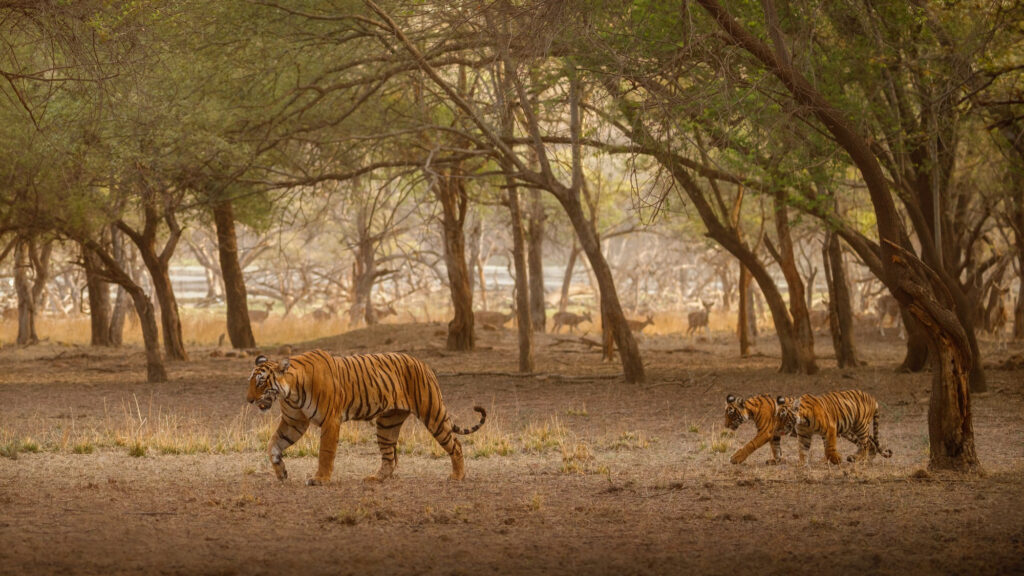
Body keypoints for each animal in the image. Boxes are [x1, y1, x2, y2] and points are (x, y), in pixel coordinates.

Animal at [246, 349, 486, 486]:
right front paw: (281, 472)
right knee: (389, 458)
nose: (248, 400)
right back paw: (375, 479)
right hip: (387, 423)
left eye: (261, 382)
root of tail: (423, 363)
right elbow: (273, 444)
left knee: (455, 444)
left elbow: (325, 452)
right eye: (251, 381)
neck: (291, 392)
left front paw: (320, 479)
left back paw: (457, 476)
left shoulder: (330, 421)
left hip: (432, 413)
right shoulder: (294, 422)